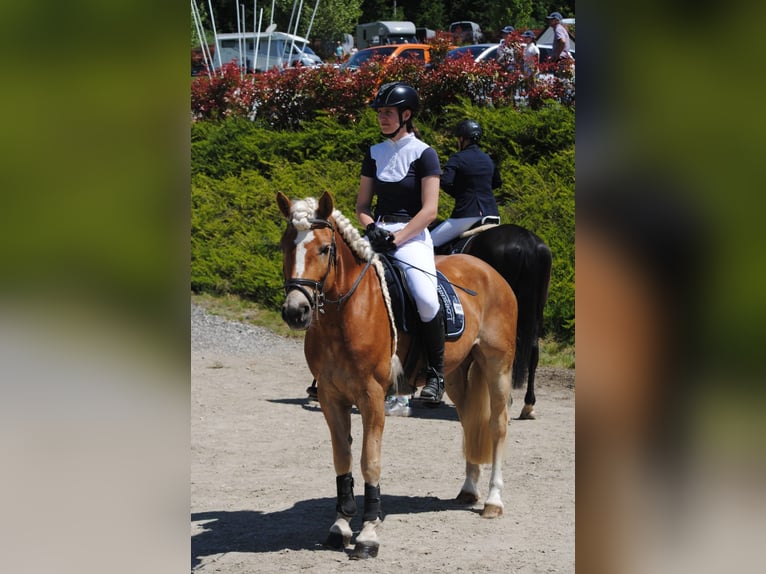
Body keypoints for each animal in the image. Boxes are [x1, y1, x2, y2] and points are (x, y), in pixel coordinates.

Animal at [280, 194, 520, 564]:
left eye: (324, 249)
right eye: (284, 245)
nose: (295, 311)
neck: (344, 317)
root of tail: (489, 271)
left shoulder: (372, 397)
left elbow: (369, 461)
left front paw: (368, 535)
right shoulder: (332, 398)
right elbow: (342, 459)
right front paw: (340, 526)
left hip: (498, 366)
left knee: (497, 426)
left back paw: (493, 500)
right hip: (456, 375)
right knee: (469, 422)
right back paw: (468, 489)